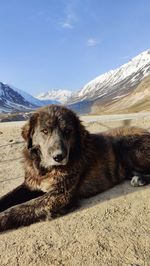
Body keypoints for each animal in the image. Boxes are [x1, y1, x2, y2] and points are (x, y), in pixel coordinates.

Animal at [0, 105, 150, 232]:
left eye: (67, 131)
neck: (46, 169)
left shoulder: (60, 195)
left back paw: (140, 179)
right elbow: (7, 198)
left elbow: (20, 207)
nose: (59, 156)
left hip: (127, 146)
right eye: (44, 131)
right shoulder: (30, 184)